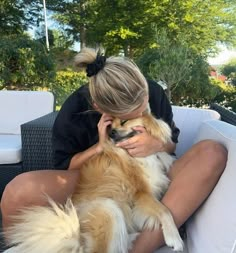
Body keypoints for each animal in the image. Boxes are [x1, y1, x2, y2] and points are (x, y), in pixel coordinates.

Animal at [4, 112, 184, 253]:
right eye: (110, 125)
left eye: (124, 121)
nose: (111, 132)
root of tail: (77, 236)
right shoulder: (141, 194)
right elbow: (164, 211)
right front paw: (174, 239)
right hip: (109, 210)